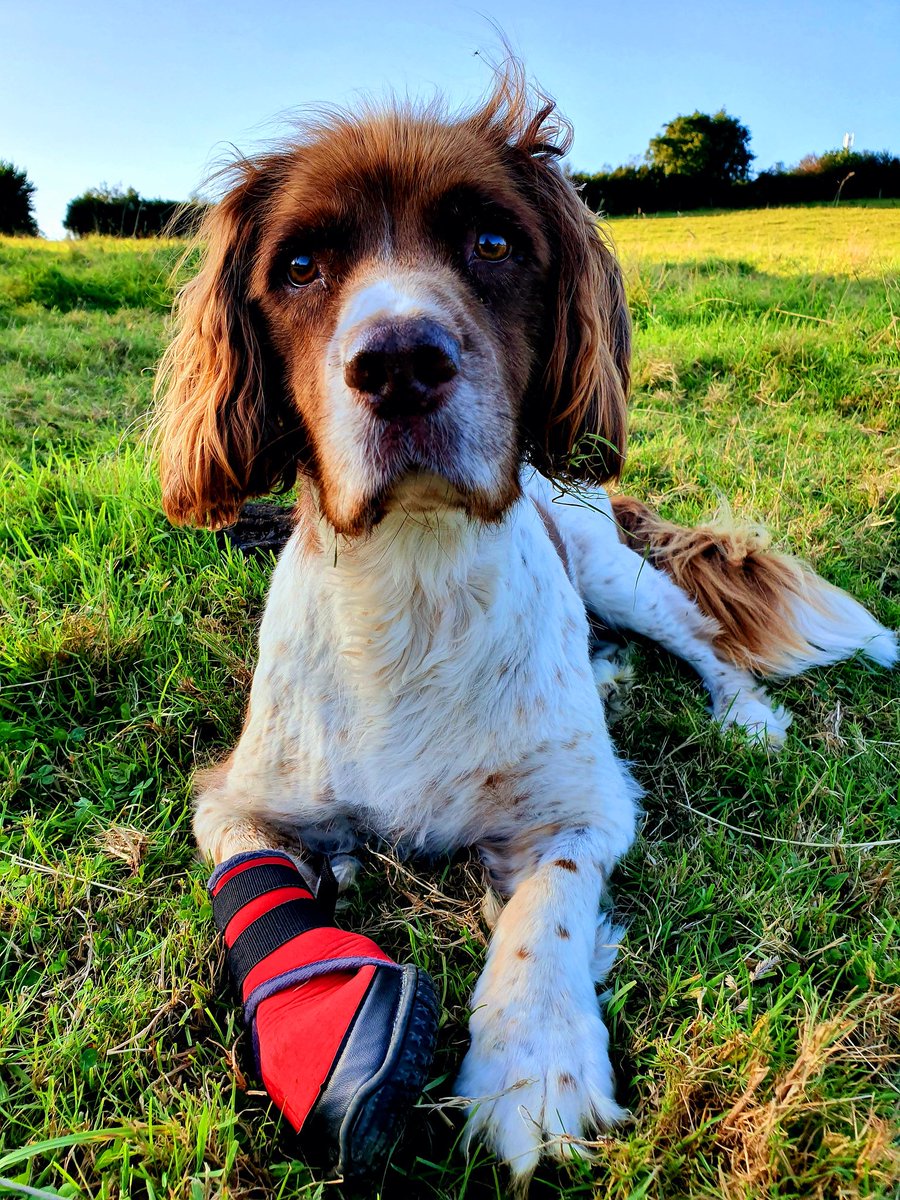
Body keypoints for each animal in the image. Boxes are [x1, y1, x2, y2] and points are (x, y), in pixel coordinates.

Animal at [153, 65, 897, 1180]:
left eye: (495, 244)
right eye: (299, 265)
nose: (399, 363)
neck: (413, 581)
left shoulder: (587, 805)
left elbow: (548, 907)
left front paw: (535, 1068)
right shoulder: (238, 800)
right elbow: (260, 876)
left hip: (613, 568)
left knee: (699, 635)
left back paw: (745, 714)